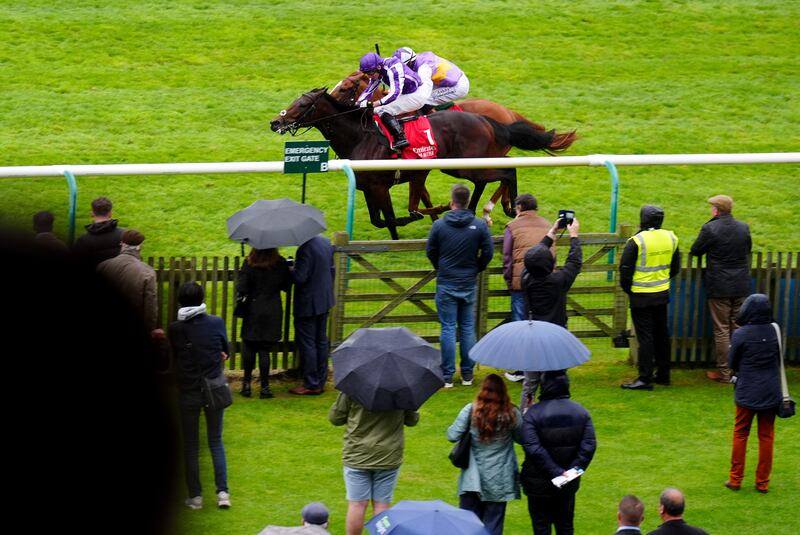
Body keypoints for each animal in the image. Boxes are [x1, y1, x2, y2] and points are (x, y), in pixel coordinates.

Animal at [272, 89, 564, 240]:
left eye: (304, 104)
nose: (276, 122)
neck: (361, 136)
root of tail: (487, 119)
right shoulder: (368, 187)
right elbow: (380, 220)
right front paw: (421, 216)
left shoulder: (380, 186)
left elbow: (391, 219)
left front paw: (411, 220)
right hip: (461, 164)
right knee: (496, 174)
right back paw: (480, 209)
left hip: (466, 164)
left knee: (507, 171)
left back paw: (507, 208)